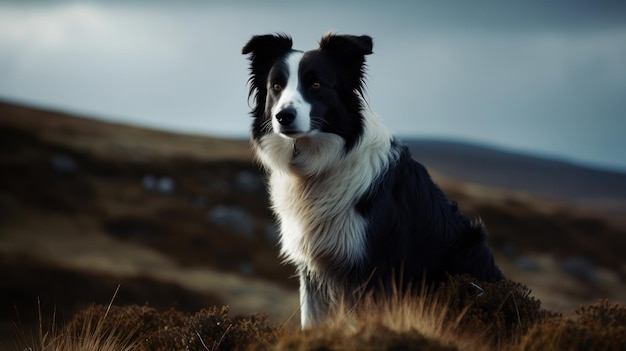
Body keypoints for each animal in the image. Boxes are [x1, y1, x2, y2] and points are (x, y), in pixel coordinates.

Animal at [239, 33, 502, 330]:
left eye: (316, 84)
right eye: (276, 86)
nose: (283, 116)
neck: (318, 168)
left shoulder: (373, 267)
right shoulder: (312, 268)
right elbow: (312, 321)